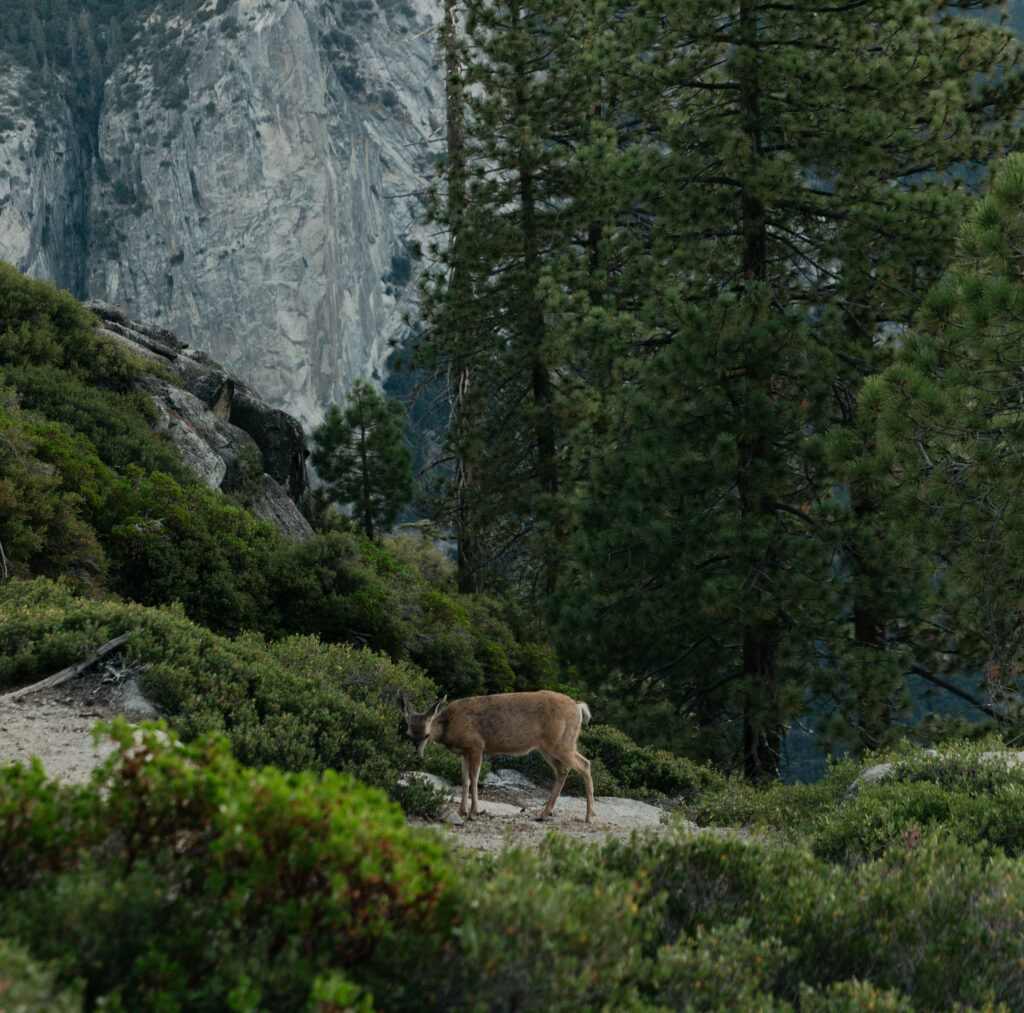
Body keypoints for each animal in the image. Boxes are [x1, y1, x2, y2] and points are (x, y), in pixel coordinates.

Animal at [396, 689, 596, 823]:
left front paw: (473, 813)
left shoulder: (476, 745)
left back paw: (588, 816)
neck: (450, 725)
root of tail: (578, 706)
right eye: (409, 734)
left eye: (426, 735)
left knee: (585, 764)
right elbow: (464, 779)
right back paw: (545, 813)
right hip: (548, 746)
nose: (418, 756)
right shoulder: (464, 752)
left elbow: (474, 778)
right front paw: (461, 811)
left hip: (561, 742)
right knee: (564, 769)